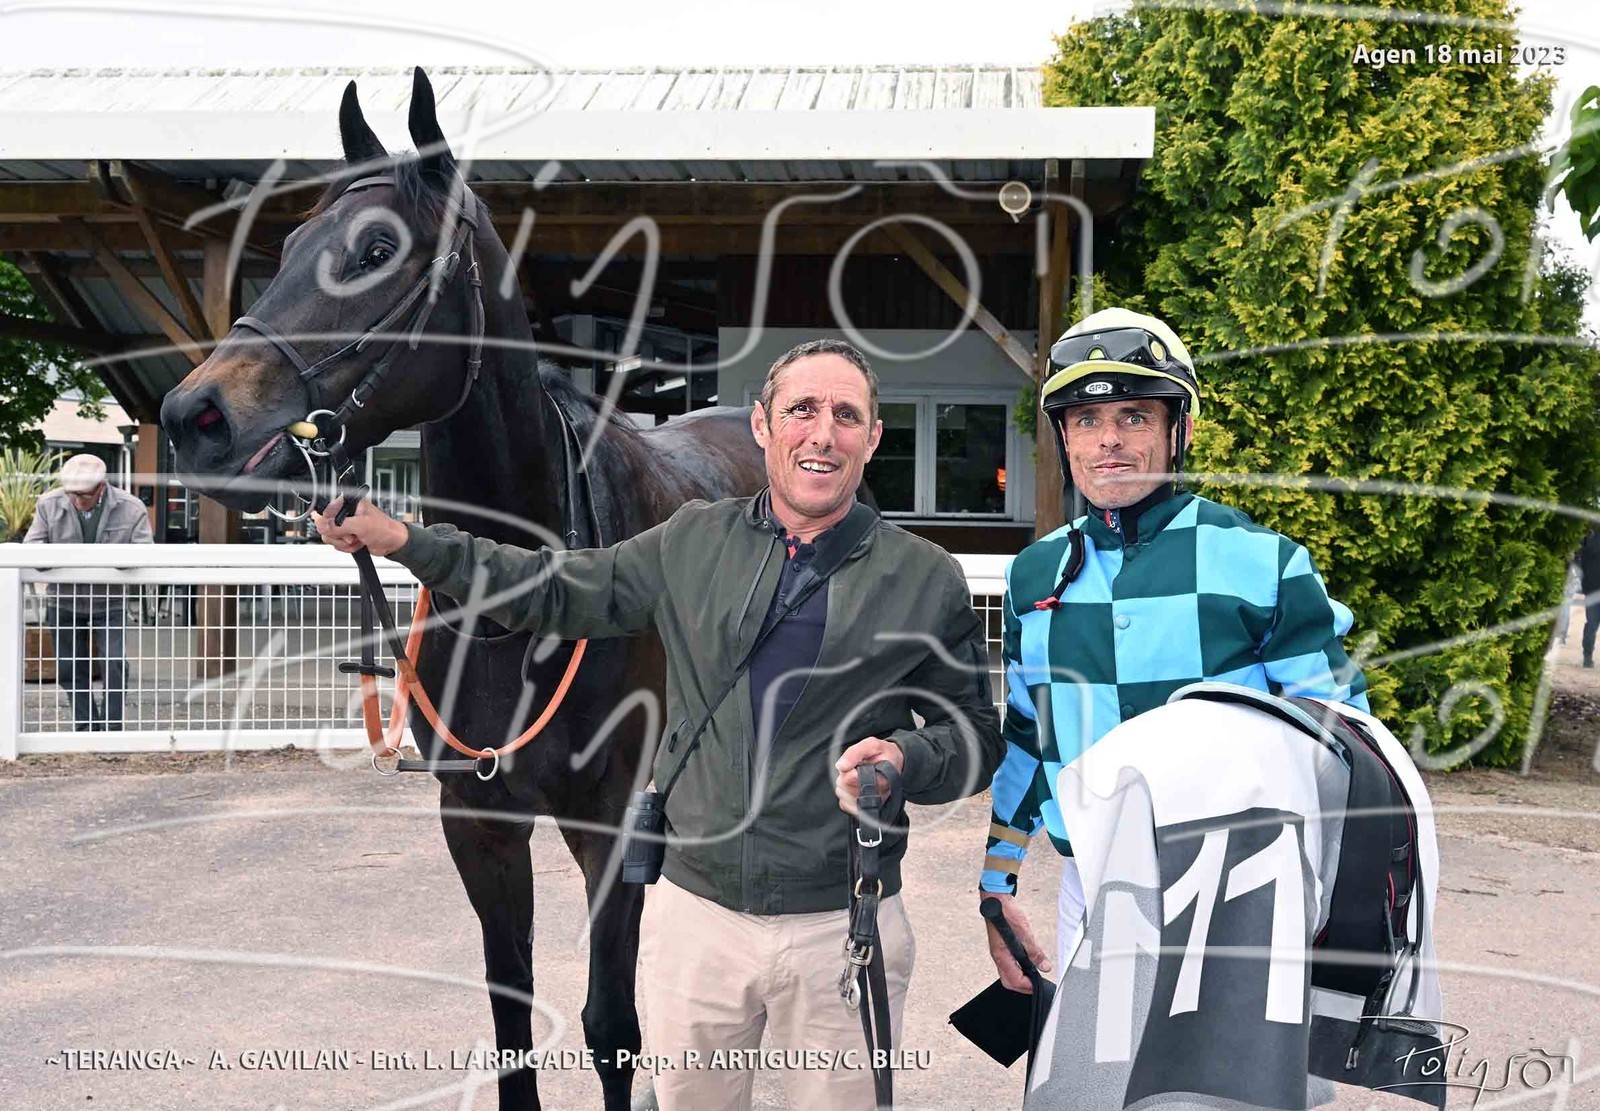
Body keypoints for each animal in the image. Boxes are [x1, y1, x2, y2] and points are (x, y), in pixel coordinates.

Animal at [159, 67, 769, 1110]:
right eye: (291, 245)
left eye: (376, 251)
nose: (195, 415)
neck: (523, 603)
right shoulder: (479, 825)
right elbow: (511, 1022)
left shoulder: (608, 821)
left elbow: (611, 1025)